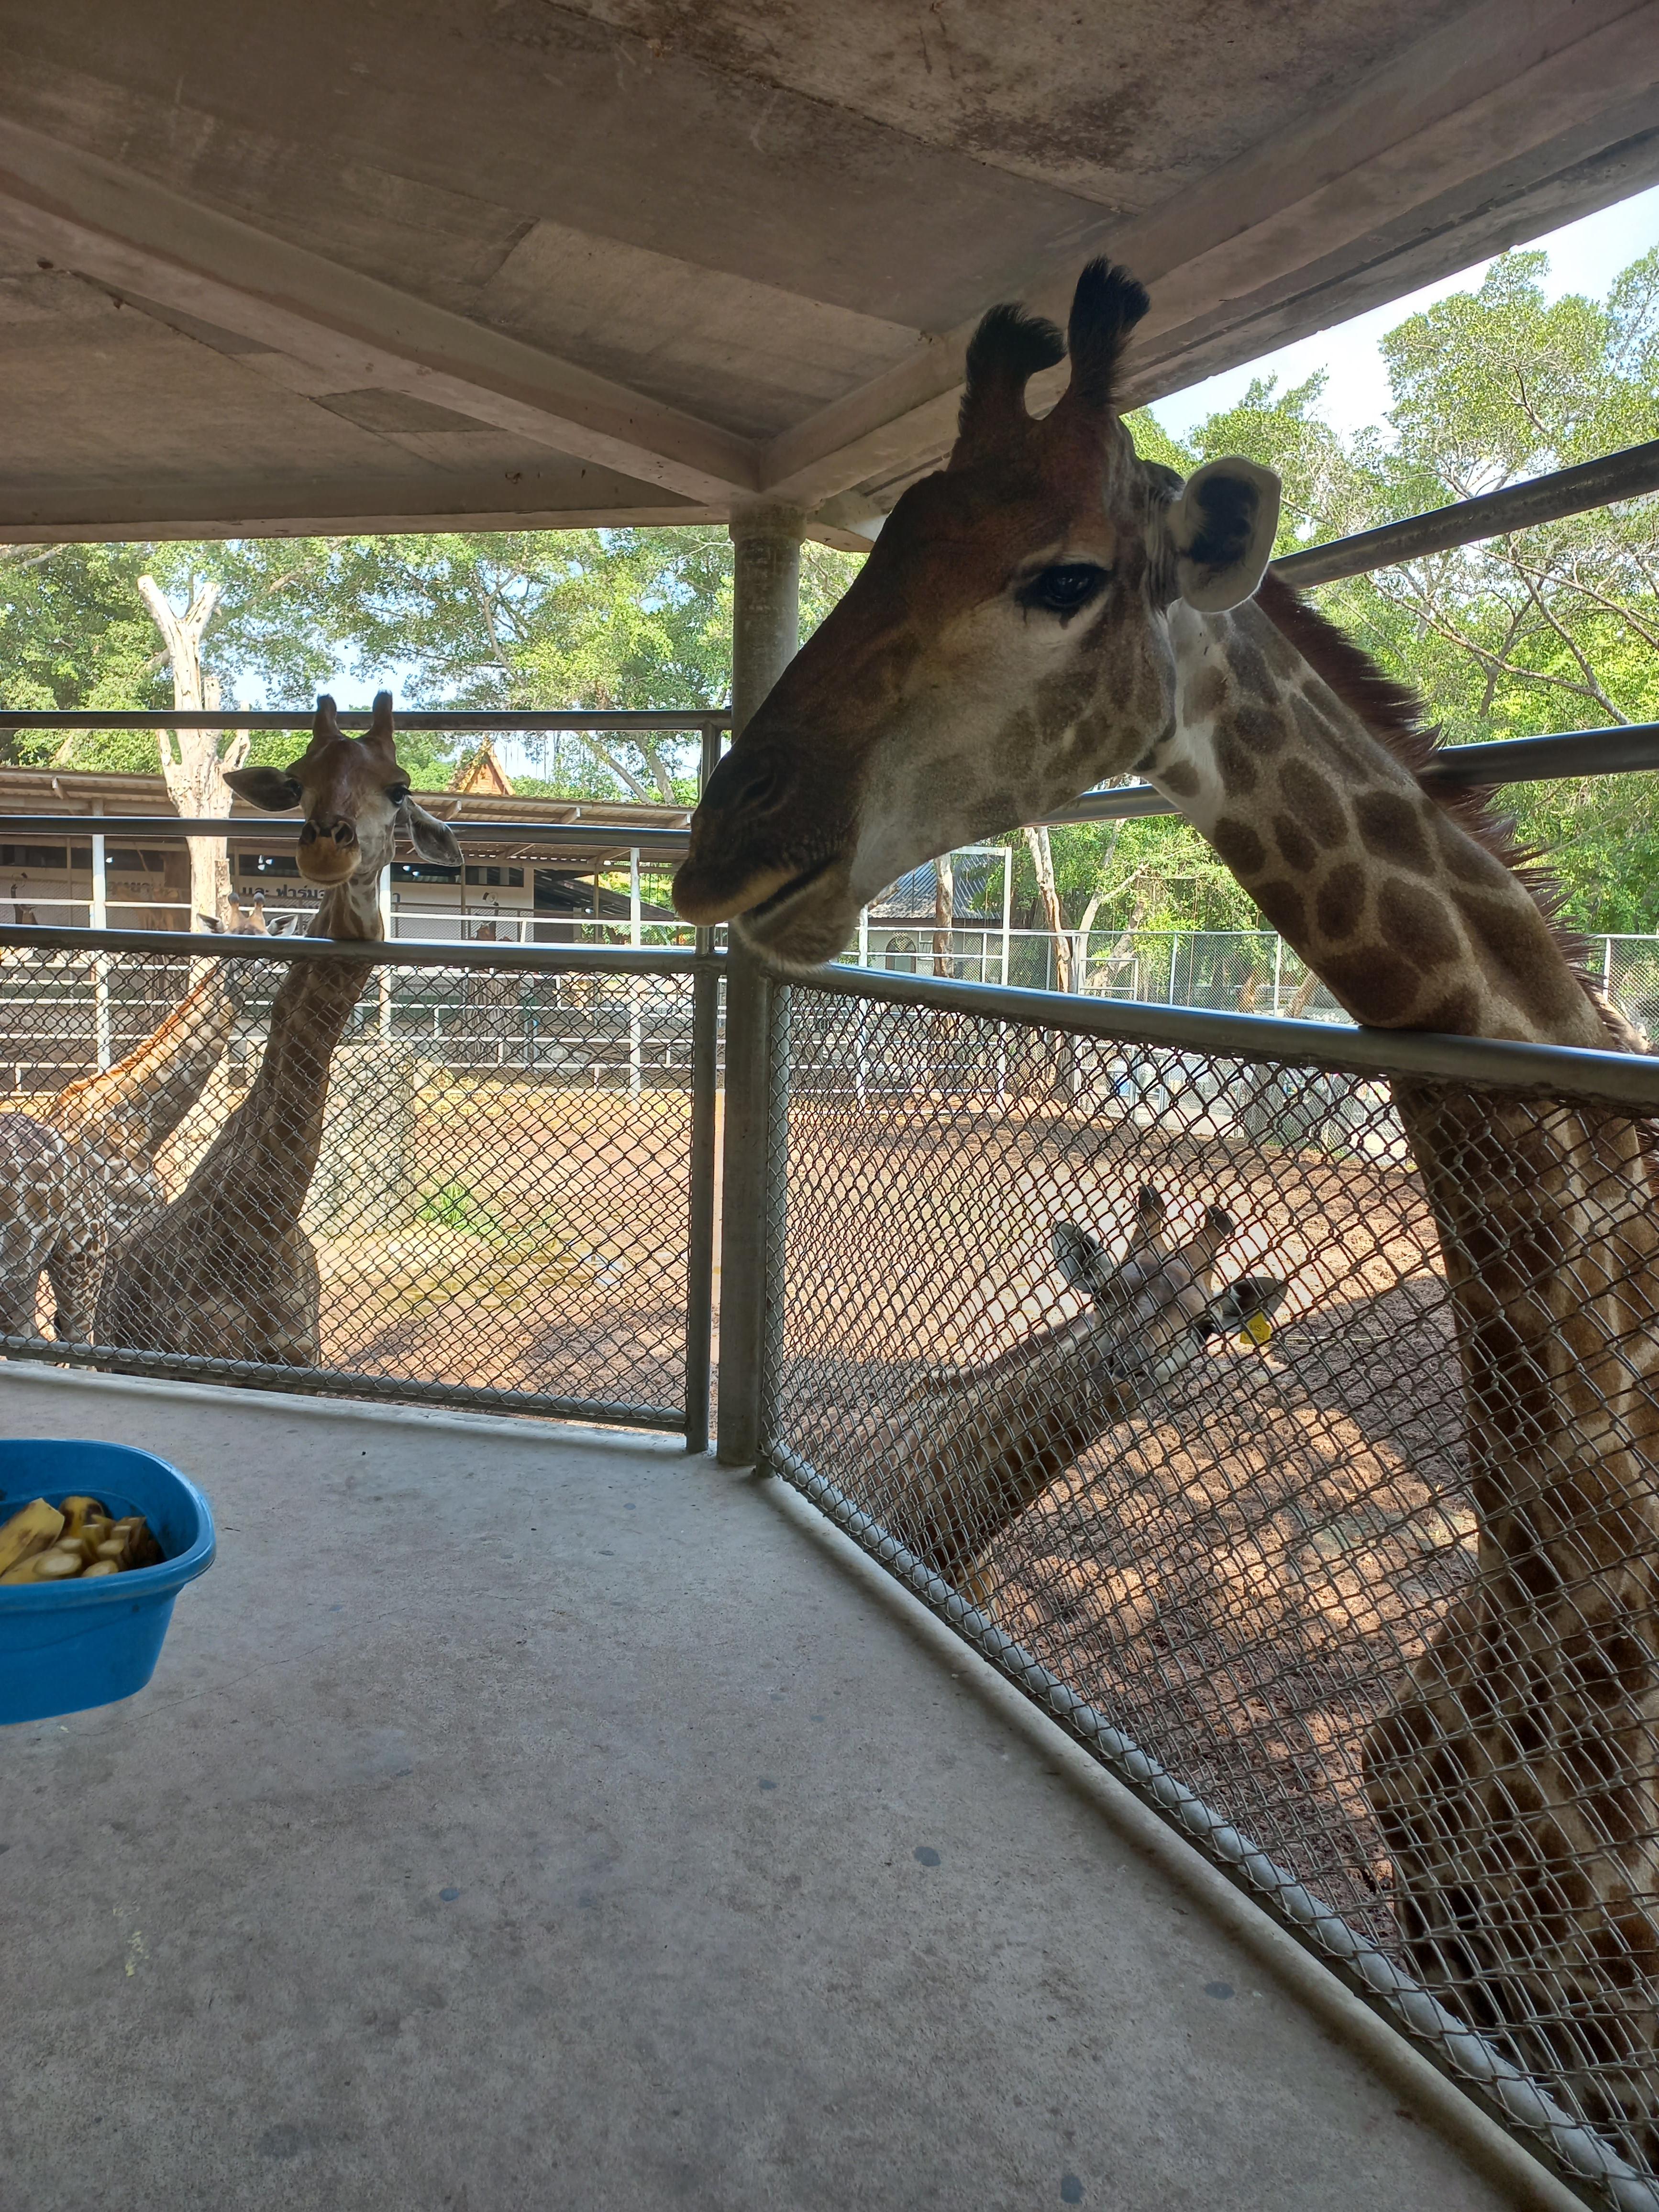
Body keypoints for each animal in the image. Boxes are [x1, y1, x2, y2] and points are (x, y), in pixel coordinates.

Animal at [95, 694, 461, 1367]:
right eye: (296, 783)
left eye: (399, 788)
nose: (327, 848)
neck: (263, 1224)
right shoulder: (205, 1360)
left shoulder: (300, 1359)